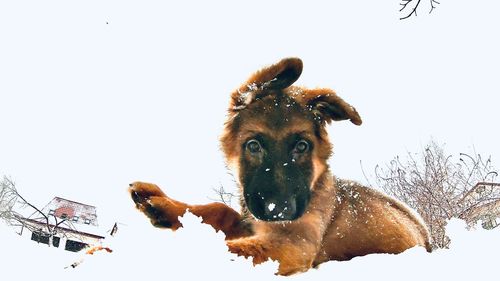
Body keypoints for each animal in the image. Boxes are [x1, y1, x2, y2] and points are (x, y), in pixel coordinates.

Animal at [129, 57, 430, 276]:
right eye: (253, 146)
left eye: (302, 146)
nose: (279, 210)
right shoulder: (253, 220)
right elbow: (219, 209)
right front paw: (162, 204)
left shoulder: (294, 244)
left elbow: (234, 250)